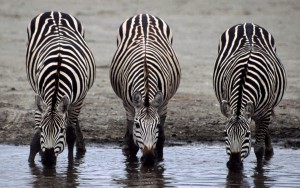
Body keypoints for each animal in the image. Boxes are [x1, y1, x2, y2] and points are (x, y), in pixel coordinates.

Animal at [26, 11, 95, 166]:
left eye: (61, 130)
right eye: (42, 129)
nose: (48, 160)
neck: (58, 74)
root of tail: (55, 11)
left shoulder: (78, 100)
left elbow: (70, 134)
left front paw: (71, 164)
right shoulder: (40, 96)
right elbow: (36, 137)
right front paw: (33, 161)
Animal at [110, 13, 180, 165]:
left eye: (157, 125)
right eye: (137, 125)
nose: (148, 159)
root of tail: (143, 15)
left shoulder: (163, 104)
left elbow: (161, 138)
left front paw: (159, 159)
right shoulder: (129, 106)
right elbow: (132, 141)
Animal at [212, 22, 288, 170]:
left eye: (247, 135)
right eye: (225, 133)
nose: (234, 165)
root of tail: (247, 23)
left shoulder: (265, 112)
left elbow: (258, 149)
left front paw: (259, 170)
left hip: (266, 109)